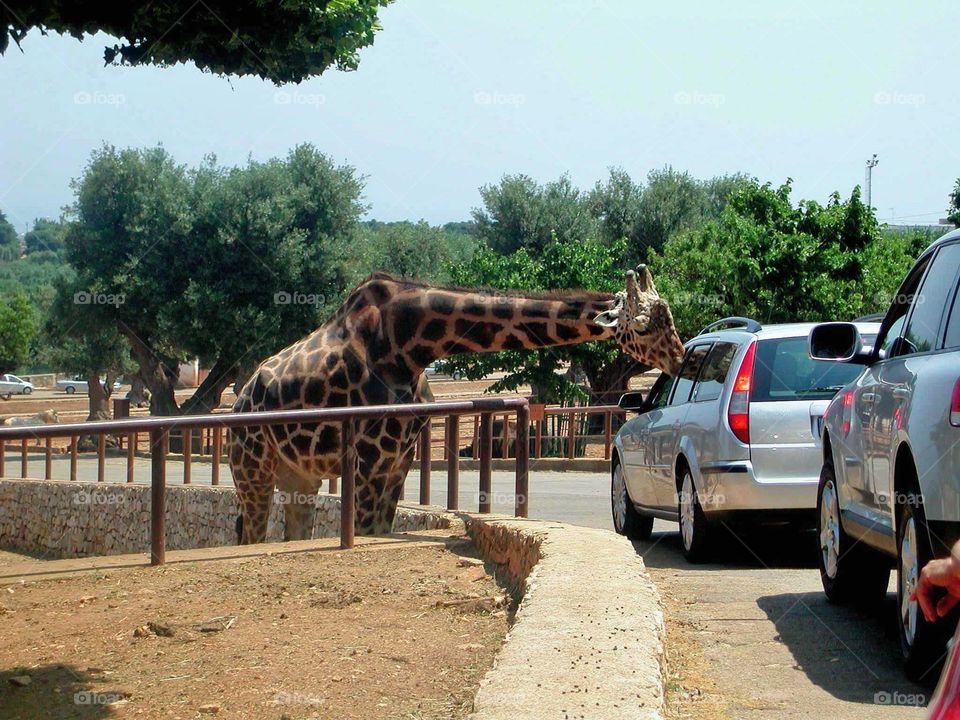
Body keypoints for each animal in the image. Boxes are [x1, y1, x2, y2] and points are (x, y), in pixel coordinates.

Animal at [227, 265, 685, 543]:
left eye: (670, 316)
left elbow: (380, 529)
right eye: (643, 325)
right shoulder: (369, 461)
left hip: (299, 477)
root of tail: (242, 397)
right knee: (249, 531)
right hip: (251, 467)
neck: (411, 348)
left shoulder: (398, 461)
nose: (681, 358)